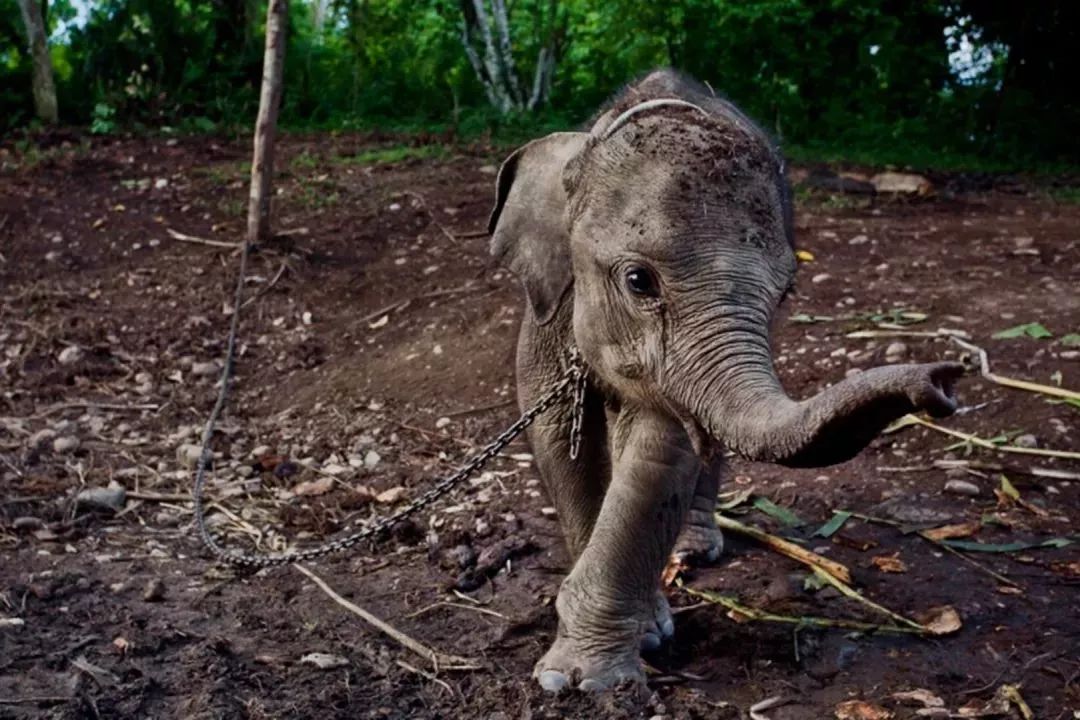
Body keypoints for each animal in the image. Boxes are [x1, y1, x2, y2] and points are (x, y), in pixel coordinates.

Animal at [490, 69, 963, 690]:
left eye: (786, 292)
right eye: (638, 280)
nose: (942, 381)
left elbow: (661, 452)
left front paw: (593, 678)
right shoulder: (549, 307)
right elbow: (556, 436)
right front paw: (588, 670)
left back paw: (693, 548)